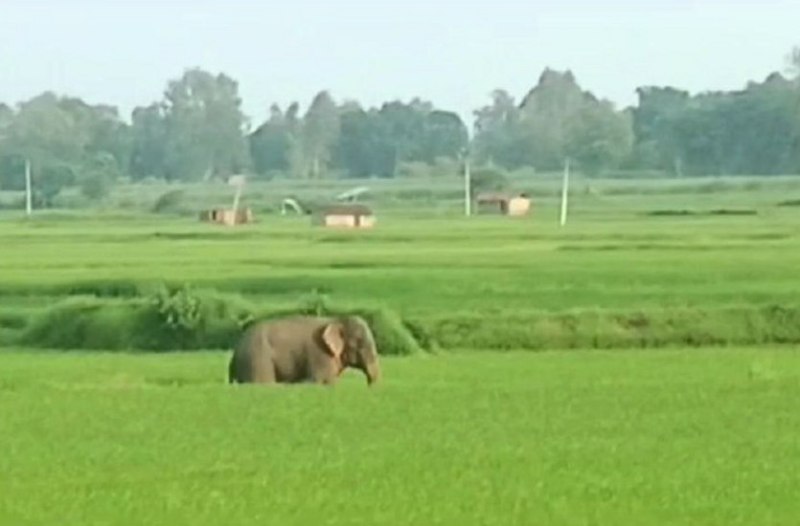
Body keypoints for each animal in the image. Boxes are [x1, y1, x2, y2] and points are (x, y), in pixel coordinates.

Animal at [228, 314, 381, 386]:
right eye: (360, 344)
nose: (370, 390)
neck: (336, 320)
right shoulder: (320, 354)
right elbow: (322, 380)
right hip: (257, 359)